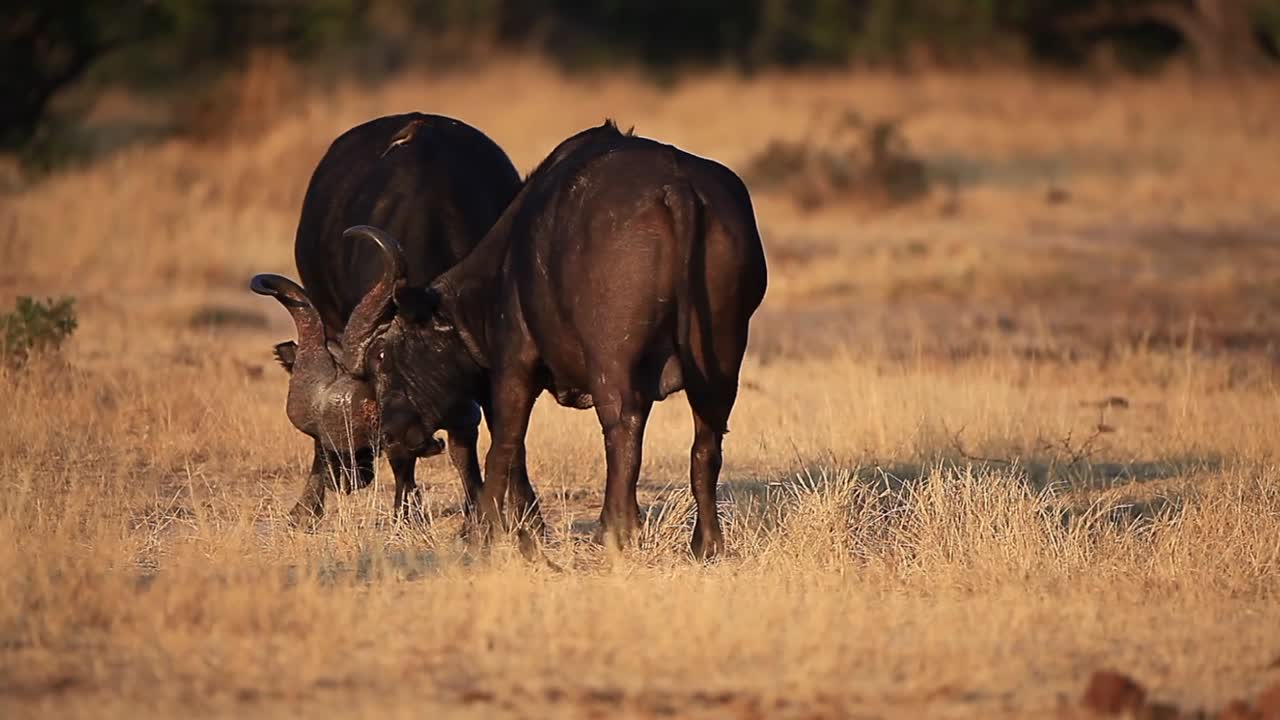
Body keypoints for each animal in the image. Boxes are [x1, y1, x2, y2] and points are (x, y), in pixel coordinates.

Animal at [250, 113, 521, 527]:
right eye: (318, 435)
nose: (344, 477)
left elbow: (472, 435)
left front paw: (482, 506)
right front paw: (405, 512)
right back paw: (308, 508)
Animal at [341, 120, 767, 558]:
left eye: (383, 356)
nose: (390, 433)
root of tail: (676, 188)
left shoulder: (514, 363)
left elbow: (505, 445)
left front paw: (485, 530)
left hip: (611, 357)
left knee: (622, 427)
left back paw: (612, 531)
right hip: (721, 356)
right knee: (705, 442)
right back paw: (706, 543)